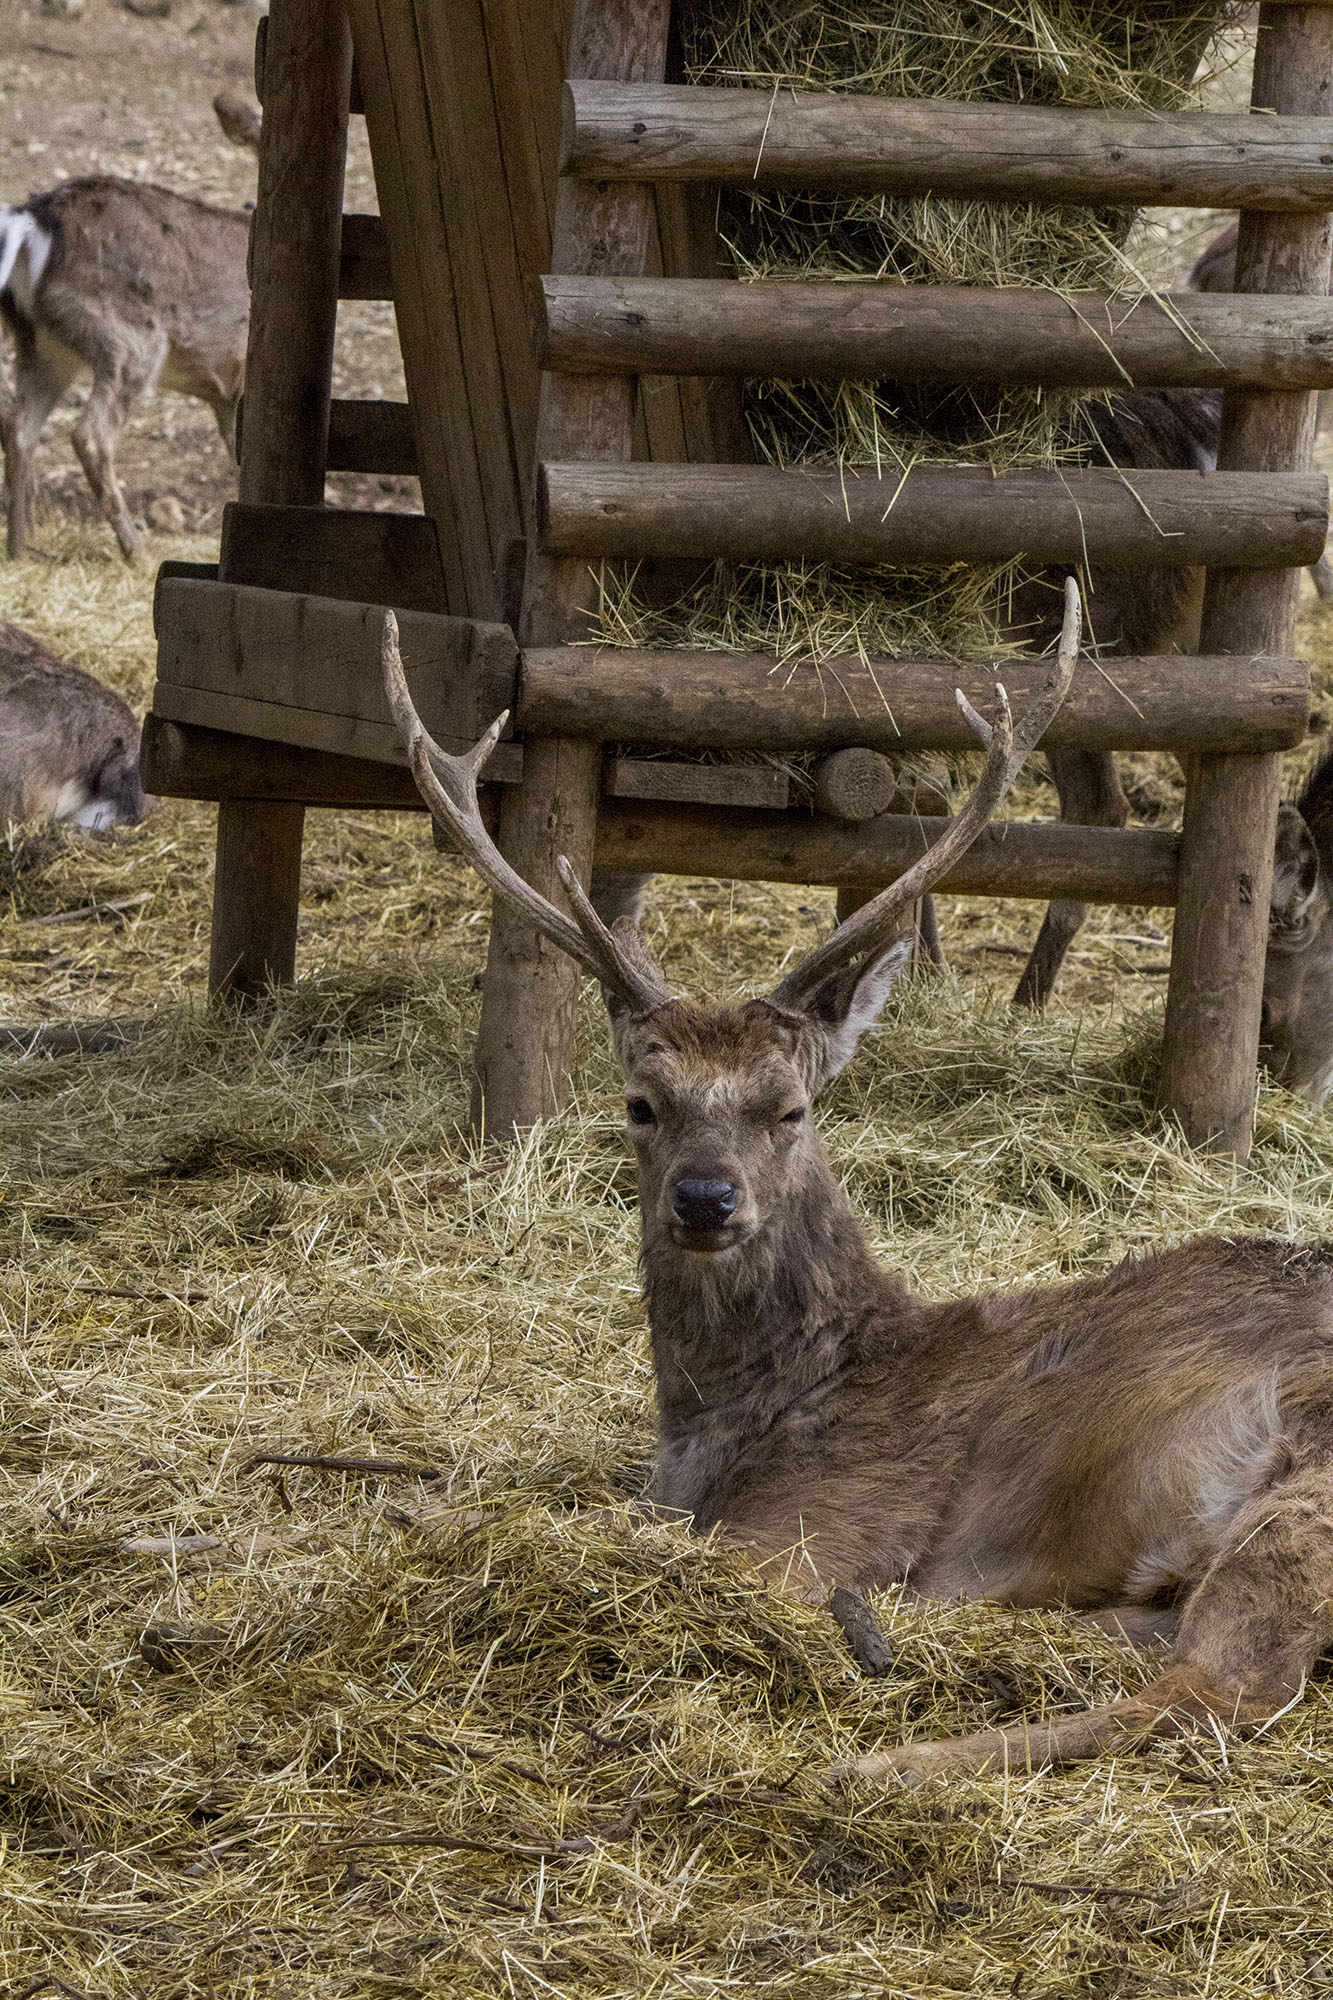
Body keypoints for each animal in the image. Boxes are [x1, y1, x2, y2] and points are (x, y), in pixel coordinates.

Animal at [0, 177, 249, 560]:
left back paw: (19, 551)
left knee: (19, 425)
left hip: (44, 346)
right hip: (130, 338)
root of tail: (31, 221)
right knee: (90, 435)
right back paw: (138, 554)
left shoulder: (227, 392)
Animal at [383, 578, 1333, 1785]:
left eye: (789, 1107)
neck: (744, 1415)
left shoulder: (813, 1523)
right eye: (641, 1104)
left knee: (1227, 1683)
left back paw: (864, 1758)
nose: (705, 1200)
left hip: (1305, 1476)